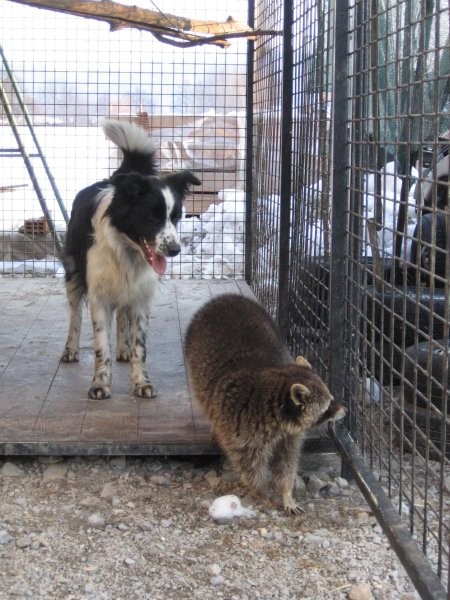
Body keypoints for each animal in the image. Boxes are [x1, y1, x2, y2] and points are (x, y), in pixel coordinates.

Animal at [62, 120, 200, 398]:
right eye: (151, 216)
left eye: (175, 217)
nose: (175, 250)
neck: (126, 249)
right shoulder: (99, 296)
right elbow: (100, 346)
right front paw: (100, 384)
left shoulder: (141, 297)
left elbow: (139, 345)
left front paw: (141, 382)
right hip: (72, 272)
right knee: (74, 313)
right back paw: (70, 349)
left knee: (122, 316)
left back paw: (123, 349)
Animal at [185, 292, 346, 512]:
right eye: (328, 406)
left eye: (332, 399)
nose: (345, 410)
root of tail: (225, 297)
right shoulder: (239, 425)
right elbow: (250, 465)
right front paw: (262, 491)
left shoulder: (290, 435)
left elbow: (287, 461)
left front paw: (286, 492)